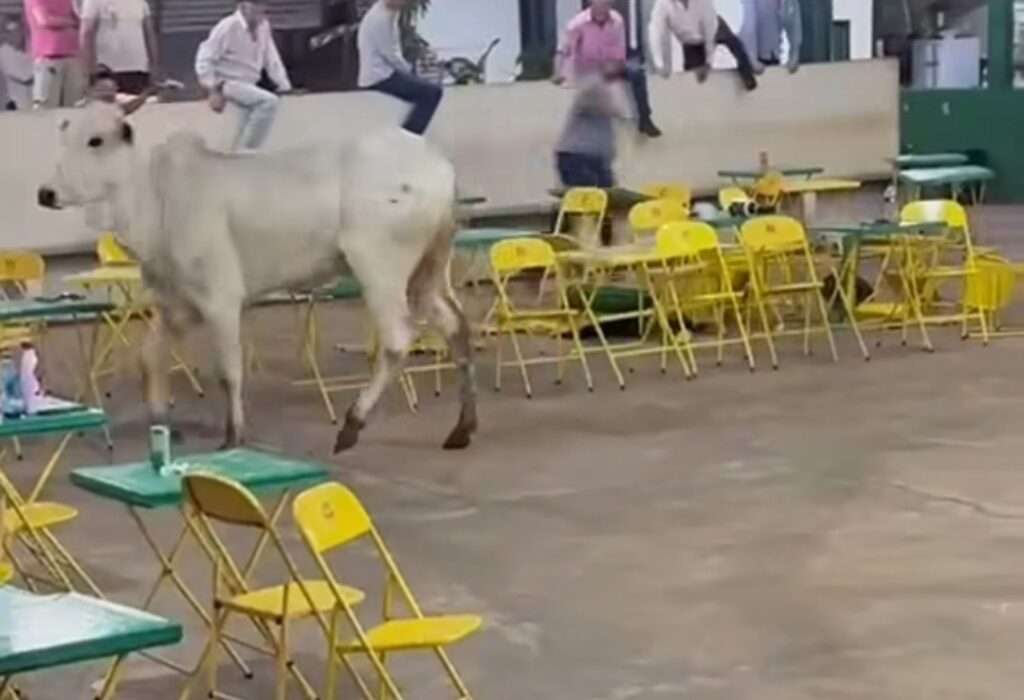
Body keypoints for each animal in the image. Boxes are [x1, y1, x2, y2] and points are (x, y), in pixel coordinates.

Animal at [37, 102, 478, 453]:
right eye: (64, 136)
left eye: (95, 140)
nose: (46, 193)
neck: (155, 197)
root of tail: (437, 165)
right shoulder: (176, 305)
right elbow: (149, 358)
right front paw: (162, 424)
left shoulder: (221, 300)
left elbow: (228, 372)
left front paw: (233, 437)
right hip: (428, 272)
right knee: (456, 327)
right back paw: (462, 428)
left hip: (379, 267)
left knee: (396, 342)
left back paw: (353, 423)